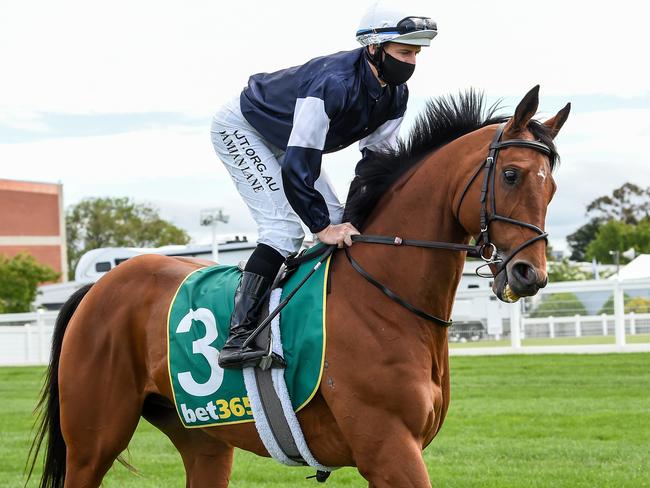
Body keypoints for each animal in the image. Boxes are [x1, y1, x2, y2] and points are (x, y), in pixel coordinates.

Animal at [29, 86, 568, 486]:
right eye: (512, 174)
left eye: (552, 186)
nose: (530, 274)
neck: (384, 295)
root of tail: (98, 288)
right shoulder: (389, 449)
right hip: (93, 441)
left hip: (204, 440)